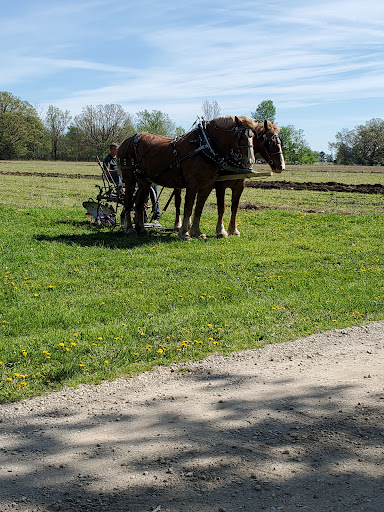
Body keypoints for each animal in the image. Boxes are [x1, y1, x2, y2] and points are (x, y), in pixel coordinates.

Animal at [117, 115, 258, 239]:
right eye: (240, 136)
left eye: (253, 136)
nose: (250, 161)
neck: (205, 145)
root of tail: (128, 140)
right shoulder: (193, 184)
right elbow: (188, 208)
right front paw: (184, 233)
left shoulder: (206, 185)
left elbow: (198, 208)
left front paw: (196, 232)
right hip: (130, 179)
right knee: (128, 202)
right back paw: (129, 229)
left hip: (145, 182)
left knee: (139, 203)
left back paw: (141, 229)